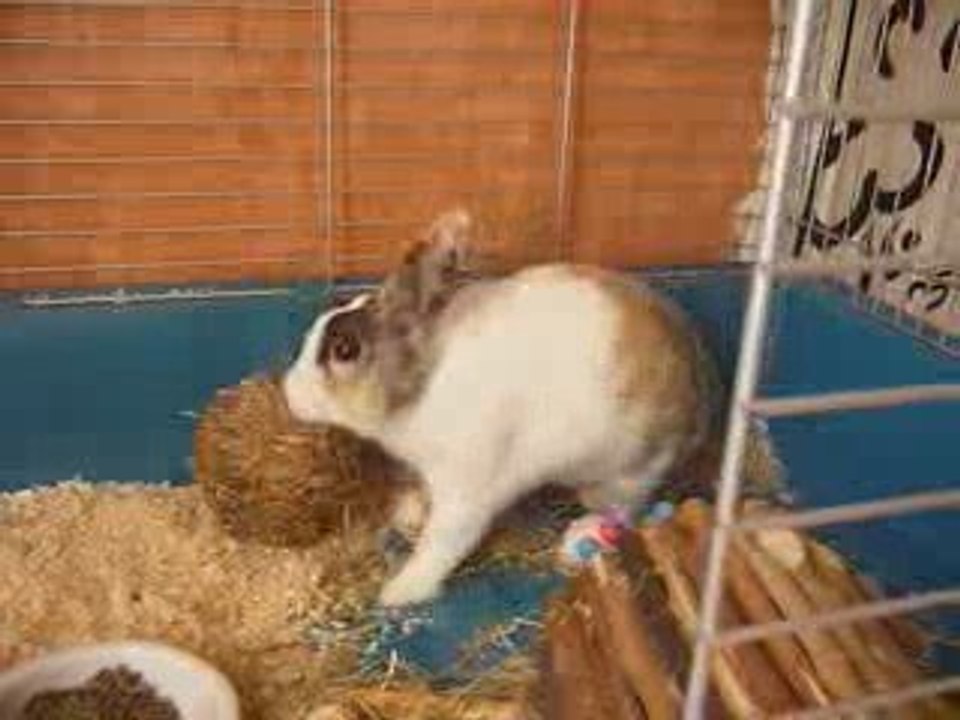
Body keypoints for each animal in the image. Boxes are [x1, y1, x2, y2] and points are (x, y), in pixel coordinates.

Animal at [283, 209, 717, 607]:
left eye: (345, 349)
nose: (289, 393)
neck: (423, 378)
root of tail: (699, 402)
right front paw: (411, 513)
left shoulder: (466, 488)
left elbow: (443, 543)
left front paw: (398, 593)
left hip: (623, 474)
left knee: (624, 510)